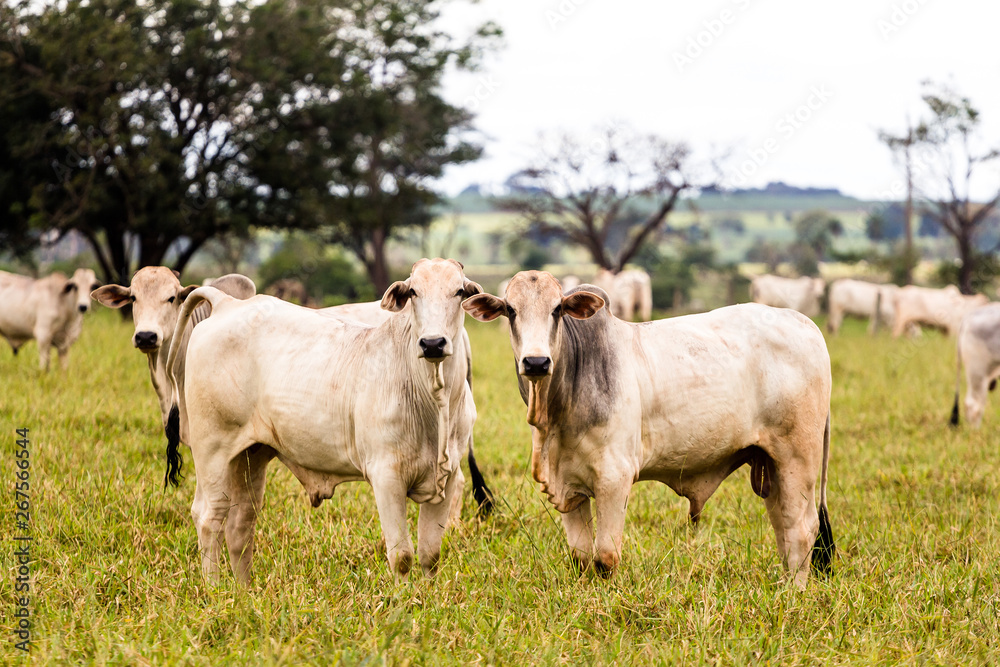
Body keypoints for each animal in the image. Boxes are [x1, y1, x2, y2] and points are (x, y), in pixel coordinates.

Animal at [165, 258, 488, 580]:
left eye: (459, 291)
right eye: (413, 292)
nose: (432, 343)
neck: (434, 402)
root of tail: (226, 303)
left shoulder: (447, 478)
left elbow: (429, 555)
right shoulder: (386, 477)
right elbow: (402, 557)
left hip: (250, 455)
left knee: (240, 522)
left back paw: (243, 588)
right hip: (212, 450)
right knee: (209, 516)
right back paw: (214, 587)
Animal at [462, 268, 836, 588]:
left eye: (557, 310)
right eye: (511, 310)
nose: (537, 362)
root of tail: (805, 323)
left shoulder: (615, 477)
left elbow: (606, 557)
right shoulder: (569, 486)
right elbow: (580, 557)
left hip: (798, 459)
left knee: (802, 529)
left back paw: (794, 593)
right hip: (770, 464)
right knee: (783, 524)